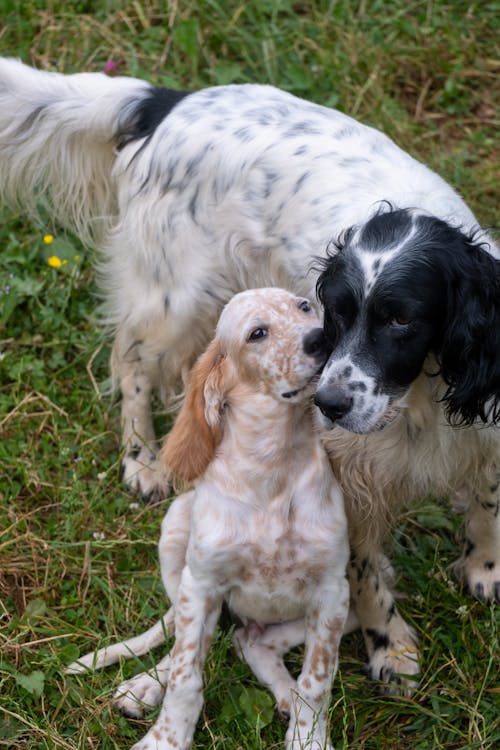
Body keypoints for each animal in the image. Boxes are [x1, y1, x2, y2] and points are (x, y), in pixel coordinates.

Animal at [0, 60, 500, 700]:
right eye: (335, 312)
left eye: (401, 319)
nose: (328, 403)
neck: (422, 394)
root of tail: (167, 101)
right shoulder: (348, 478)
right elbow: (364, 570)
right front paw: (391, 647)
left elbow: (485, 500)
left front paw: (484, 567)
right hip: (176, 297)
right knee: (132, 361)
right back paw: (143, 459)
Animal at [68, 290, 350, 750]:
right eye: (257, 333)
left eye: (305, 307)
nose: (321, 338)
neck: (273, 467)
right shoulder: (200, 585)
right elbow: (186, 675)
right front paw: (166, 738)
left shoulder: (331, 593)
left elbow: (316, 680)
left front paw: (308, 737)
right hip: (175, 534)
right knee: (191, 644)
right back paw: (145, 685)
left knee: (250, 642)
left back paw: (284, 696)